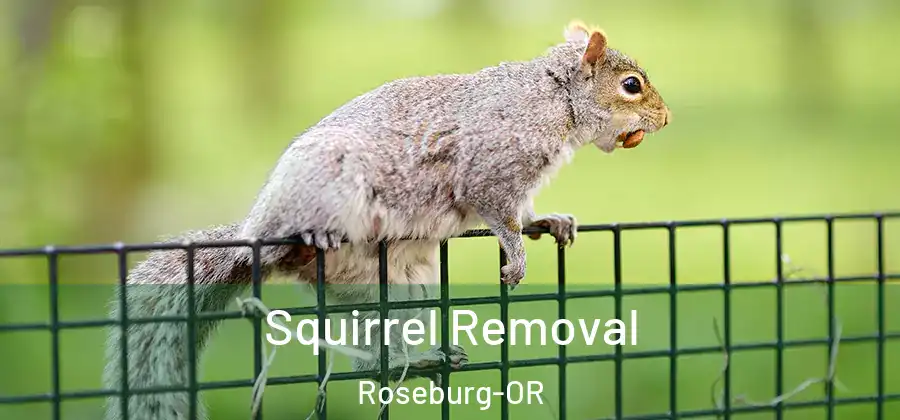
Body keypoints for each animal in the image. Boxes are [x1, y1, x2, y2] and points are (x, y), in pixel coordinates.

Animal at [101, 20, 670, 420]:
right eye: (631, 85)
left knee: (372, 361)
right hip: (325, 187)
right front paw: (516, 256)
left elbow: (524, 212)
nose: (665, 119)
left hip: (398, 288)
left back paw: (415, 360)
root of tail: (252, 237)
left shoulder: (519, 183)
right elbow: (498, 214)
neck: (554, 97)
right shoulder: (489, 167)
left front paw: (549, 222)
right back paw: (310, 238)